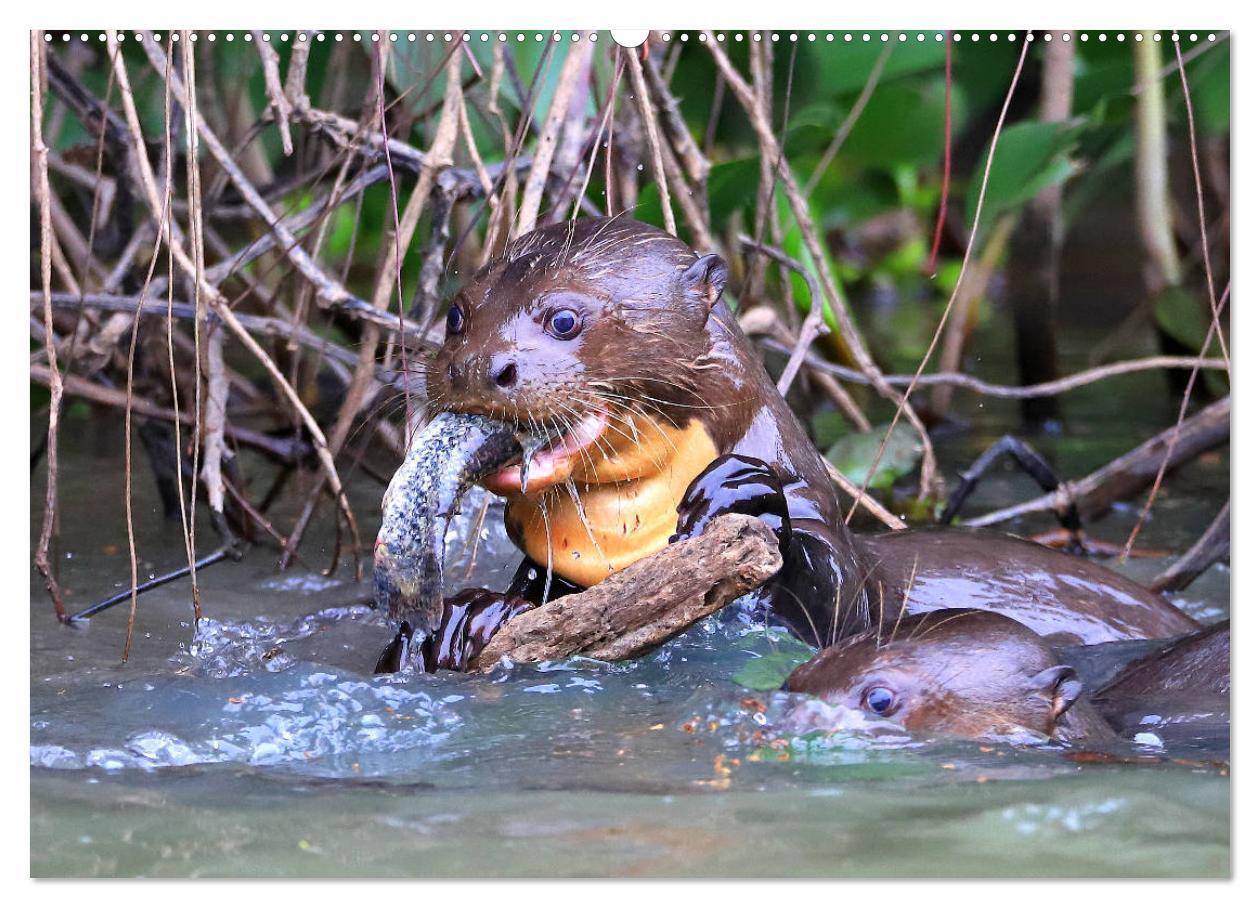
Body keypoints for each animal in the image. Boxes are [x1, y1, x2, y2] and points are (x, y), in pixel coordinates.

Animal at [375, 217, 1199, 675]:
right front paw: (471, 615)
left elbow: (841, 608)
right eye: (457, 313)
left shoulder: (826, 537)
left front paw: (742, 492)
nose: (478, 368)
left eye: (565, 319)